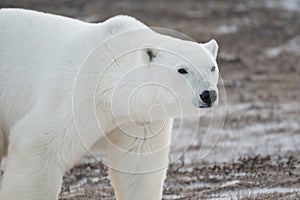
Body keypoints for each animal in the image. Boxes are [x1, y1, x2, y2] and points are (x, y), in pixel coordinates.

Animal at [0, 8, 220, 200]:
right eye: (182, 70)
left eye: (212, 67)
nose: (208, 94)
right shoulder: (79, 92)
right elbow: (40, 144)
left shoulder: (138, 118)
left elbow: (139, 165)